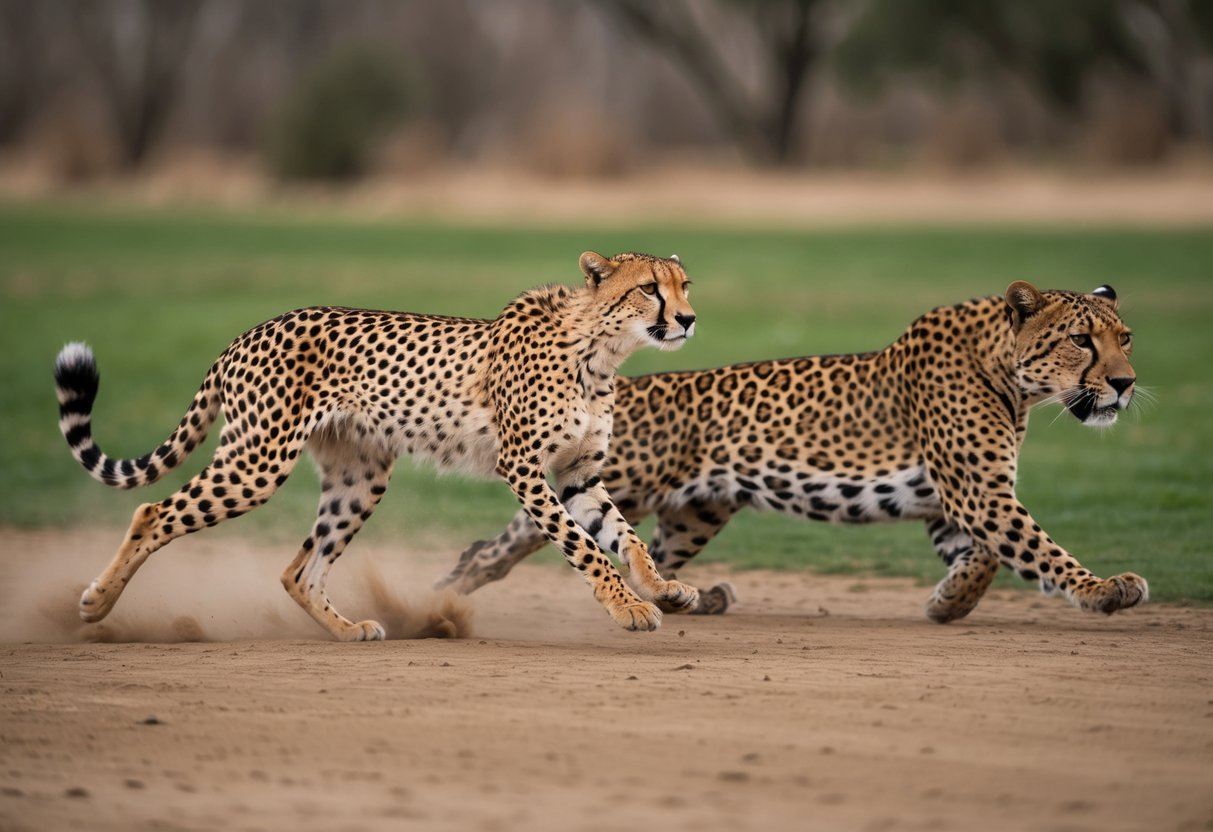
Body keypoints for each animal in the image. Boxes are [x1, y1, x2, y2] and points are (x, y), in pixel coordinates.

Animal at [53, 251, 701, 641]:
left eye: (684, 286)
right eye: (650, 289)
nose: (689, 320)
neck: (599, 351)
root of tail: (250, 331)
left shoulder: (577, 475)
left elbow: (627, 537)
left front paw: (661, 587)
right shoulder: (523, 468)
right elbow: (584, 547)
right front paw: (628, 606)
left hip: (359, 478)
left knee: (299, 570)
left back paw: (348, 631)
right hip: (256, 463)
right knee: (152, 511)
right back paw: (95, 605)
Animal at [437, 281, 1149, 624]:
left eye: (1127, 338)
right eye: (1082, 340)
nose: (1125, 383)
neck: (1010, 377)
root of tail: (623, 382)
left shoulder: (953, 502)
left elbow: (985, 559)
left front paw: (948, 603)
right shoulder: (979, 494)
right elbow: (1039, 550)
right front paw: (1103, 589)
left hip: (697, 511)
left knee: (654, 553)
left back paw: (687, 597)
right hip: (610, 482)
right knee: (496, 546)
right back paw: (445, 594)